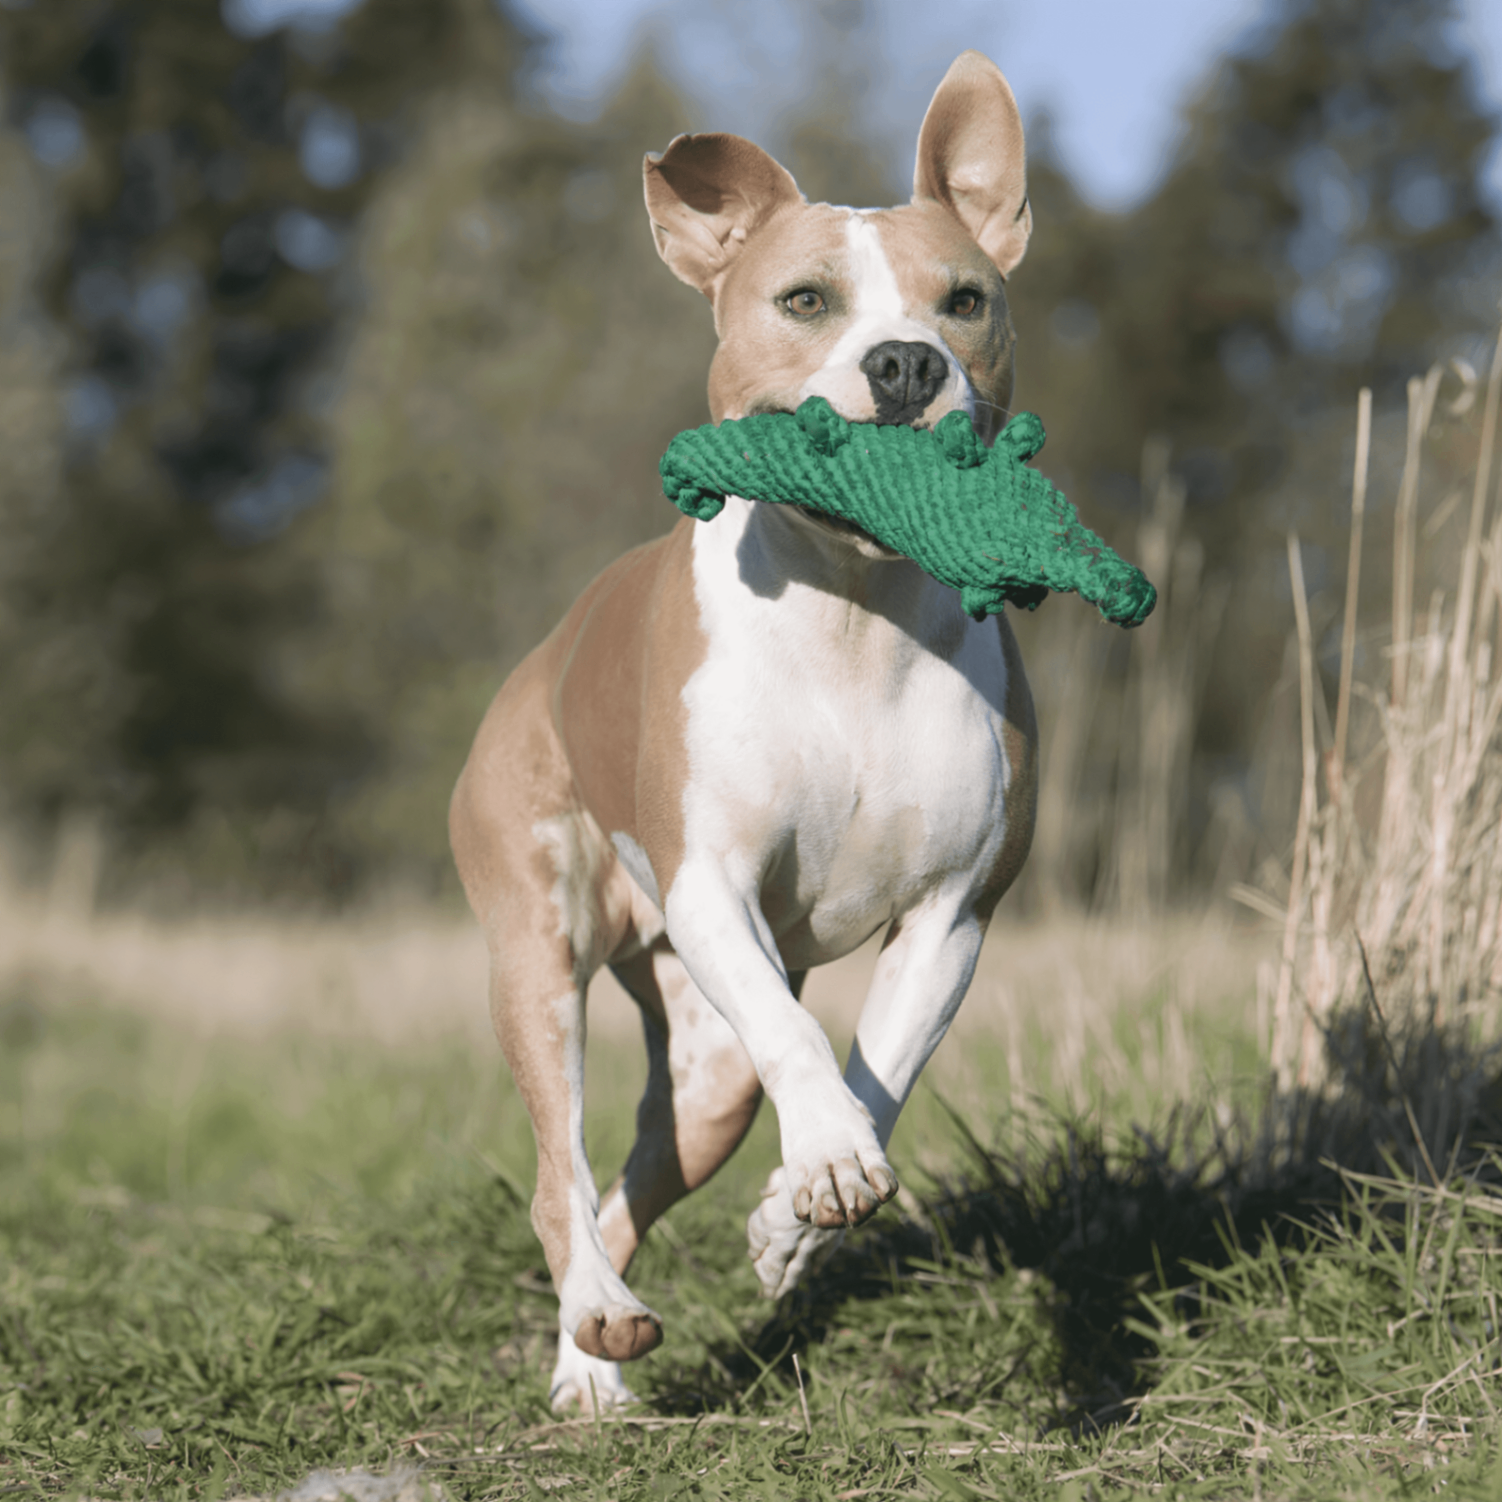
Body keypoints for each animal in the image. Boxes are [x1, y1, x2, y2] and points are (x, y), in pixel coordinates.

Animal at [444, 46, 1033, 1405]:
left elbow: (880, 1062)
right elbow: (799, 1035)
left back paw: (594, 1357)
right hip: (538, 949)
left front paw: (796, 1209)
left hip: (700, 1070)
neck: (854, 615)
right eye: (804, 298)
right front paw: (824, 1157)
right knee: (558, 1173)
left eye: (964, 300)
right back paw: (597, 1318)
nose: (905, 363)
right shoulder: (710, 884)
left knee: (628, 1185)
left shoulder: (954, 911)